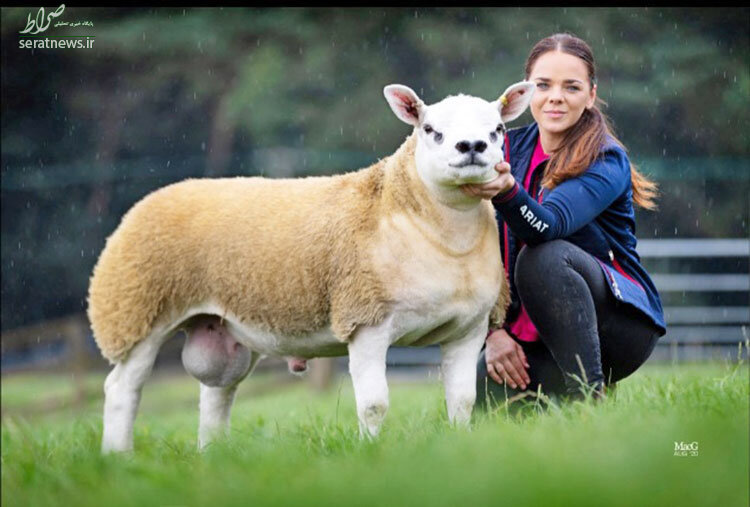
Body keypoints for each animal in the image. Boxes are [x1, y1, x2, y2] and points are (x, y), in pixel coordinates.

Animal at [89, 81, 536, 454]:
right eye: (430, 129)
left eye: (498, 129)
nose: (471, 146)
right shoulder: (366, 320)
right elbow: (374, 404)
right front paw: (371, 452)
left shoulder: (469, 329)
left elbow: (462, 400)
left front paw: (461, 444)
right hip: (136, 310)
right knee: (122, 389)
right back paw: (118, 457)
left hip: (222, 328)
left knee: (216, 395)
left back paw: (211, 455)